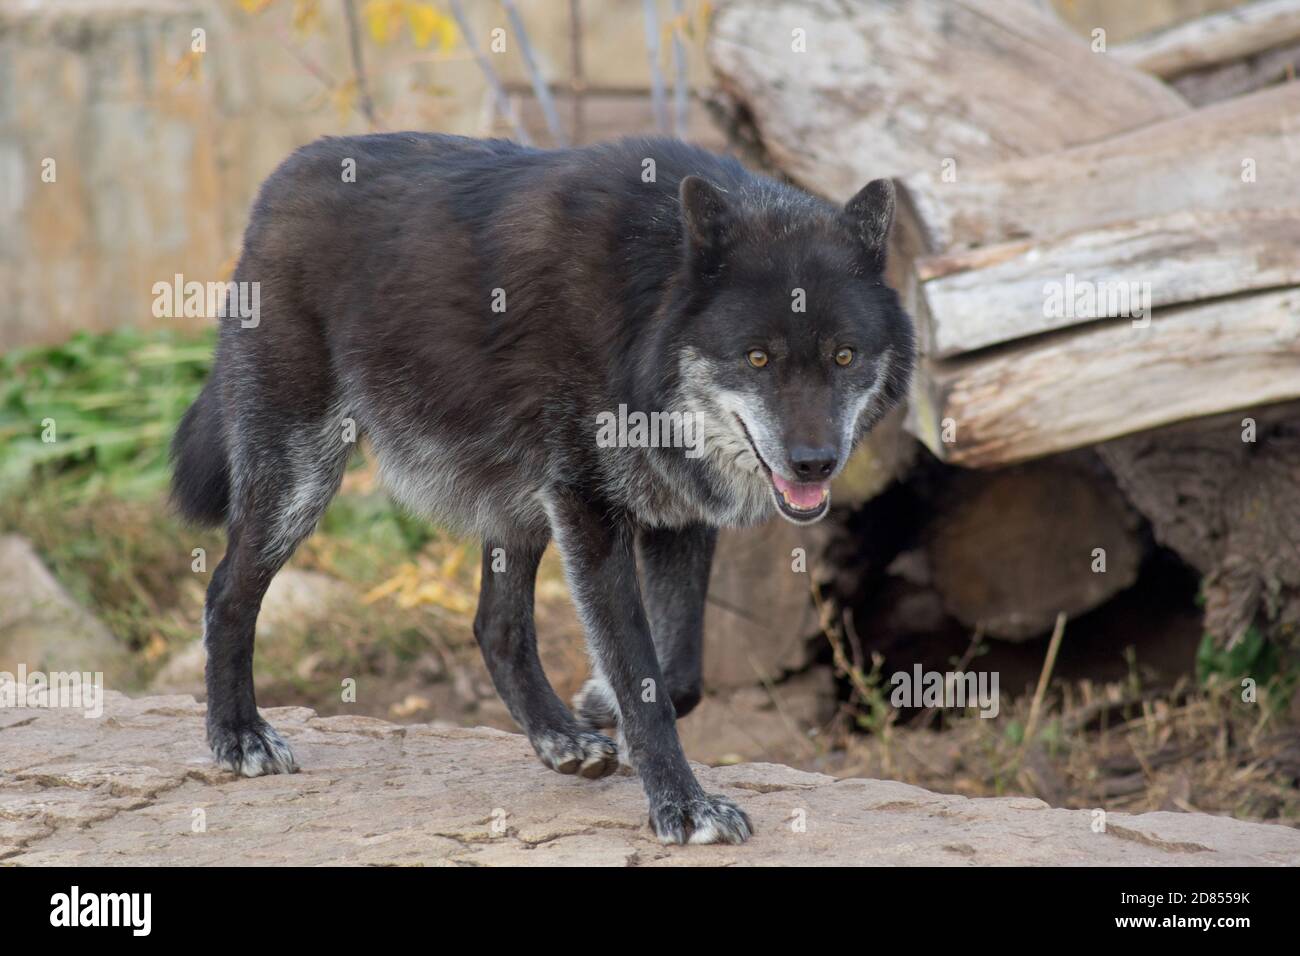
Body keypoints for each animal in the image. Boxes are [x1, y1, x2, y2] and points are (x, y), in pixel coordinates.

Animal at [171, 134, 915, 845]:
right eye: (758, 357)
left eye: (844, 356)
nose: (815, 463)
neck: (643, 301)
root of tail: (280, 180)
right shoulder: (590, 507)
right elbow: (642, 676)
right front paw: (683, 807)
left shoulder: (676, 514)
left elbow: (676, 675)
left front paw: (604, 710)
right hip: (304, 479)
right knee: (225, 591)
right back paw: (238, 735)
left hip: (517, 505)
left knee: (494, 626)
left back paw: (561, 738)